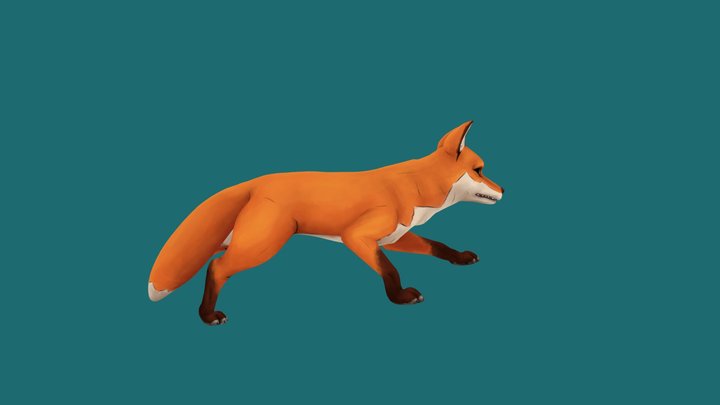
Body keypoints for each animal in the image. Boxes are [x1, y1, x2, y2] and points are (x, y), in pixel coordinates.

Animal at [149, 121, 504, 325]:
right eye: (480, 170)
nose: (505, 190)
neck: (415, 186)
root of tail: (256, 182)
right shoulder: (357, 236)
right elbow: (389, 269)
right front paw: (400, 297)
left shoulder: (394, 236)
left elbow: (437, 245)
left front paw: (459, 257)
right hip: (263, 245)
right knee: (216, 267)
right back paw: (207, 315)